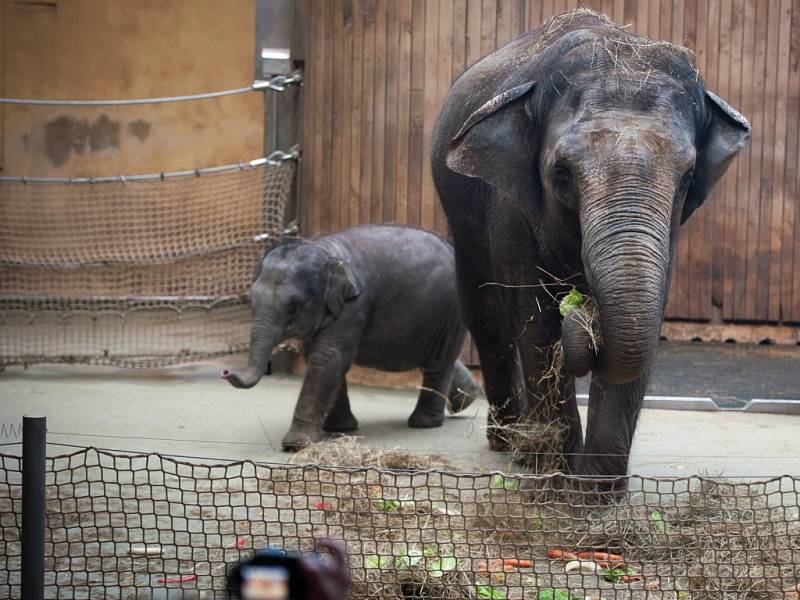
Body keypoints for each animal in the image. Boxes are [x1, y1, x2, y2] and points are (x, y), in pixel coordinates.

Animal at [220, 225, 482, 450]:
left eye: (293, 307)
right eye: (252, 300)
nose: (225, 371)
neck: (327, 253)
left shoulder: (353, 307)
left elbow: (327, 358)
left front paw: (296, 444)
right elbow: (324, 360)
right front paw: (340, 429)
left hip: (451, 309)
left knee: (438, 362)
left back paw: (424, 423)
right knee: (436, 358)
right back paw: (467, 399)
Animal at [432, 9, 752, 486]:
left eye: (689, 177)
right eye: (561, 174)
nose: (584, 309)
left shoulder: (670, 231)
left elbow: (643, 323)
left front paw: (596, 494)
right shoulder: (510, 204)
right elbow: (537, 321)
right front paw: (556, 481)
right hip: (460, 220)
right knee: (489, 320)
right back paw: (511, 446)